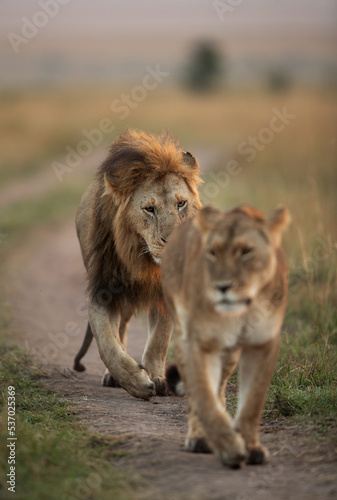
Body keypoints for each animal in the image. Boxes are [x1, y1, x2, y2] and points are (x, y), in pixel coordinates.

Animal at [72, 131, 201, 400]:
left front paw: (157, 377)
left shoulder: (166, 292)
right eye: (149, 209)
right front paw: (136, 381)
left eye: (181, 204)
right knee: (119, 329)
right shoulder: (102, 290)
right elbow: (106, 342)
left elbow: (159, 339)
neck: (143, 261)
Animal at [161, 203, 290, 468]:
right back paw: (200, 439)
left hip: (230, 353)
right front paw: (229, 447)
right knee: (198, 394)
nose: (221, 287)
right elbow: (204, 398)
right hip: (183, 336)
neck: (246, 306)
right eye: (213, 252)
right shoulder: (200, 342)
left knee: (219, 387)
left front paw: (251, 447)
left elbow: (253, 402)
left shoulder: (263, 343)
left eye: (246, 251)